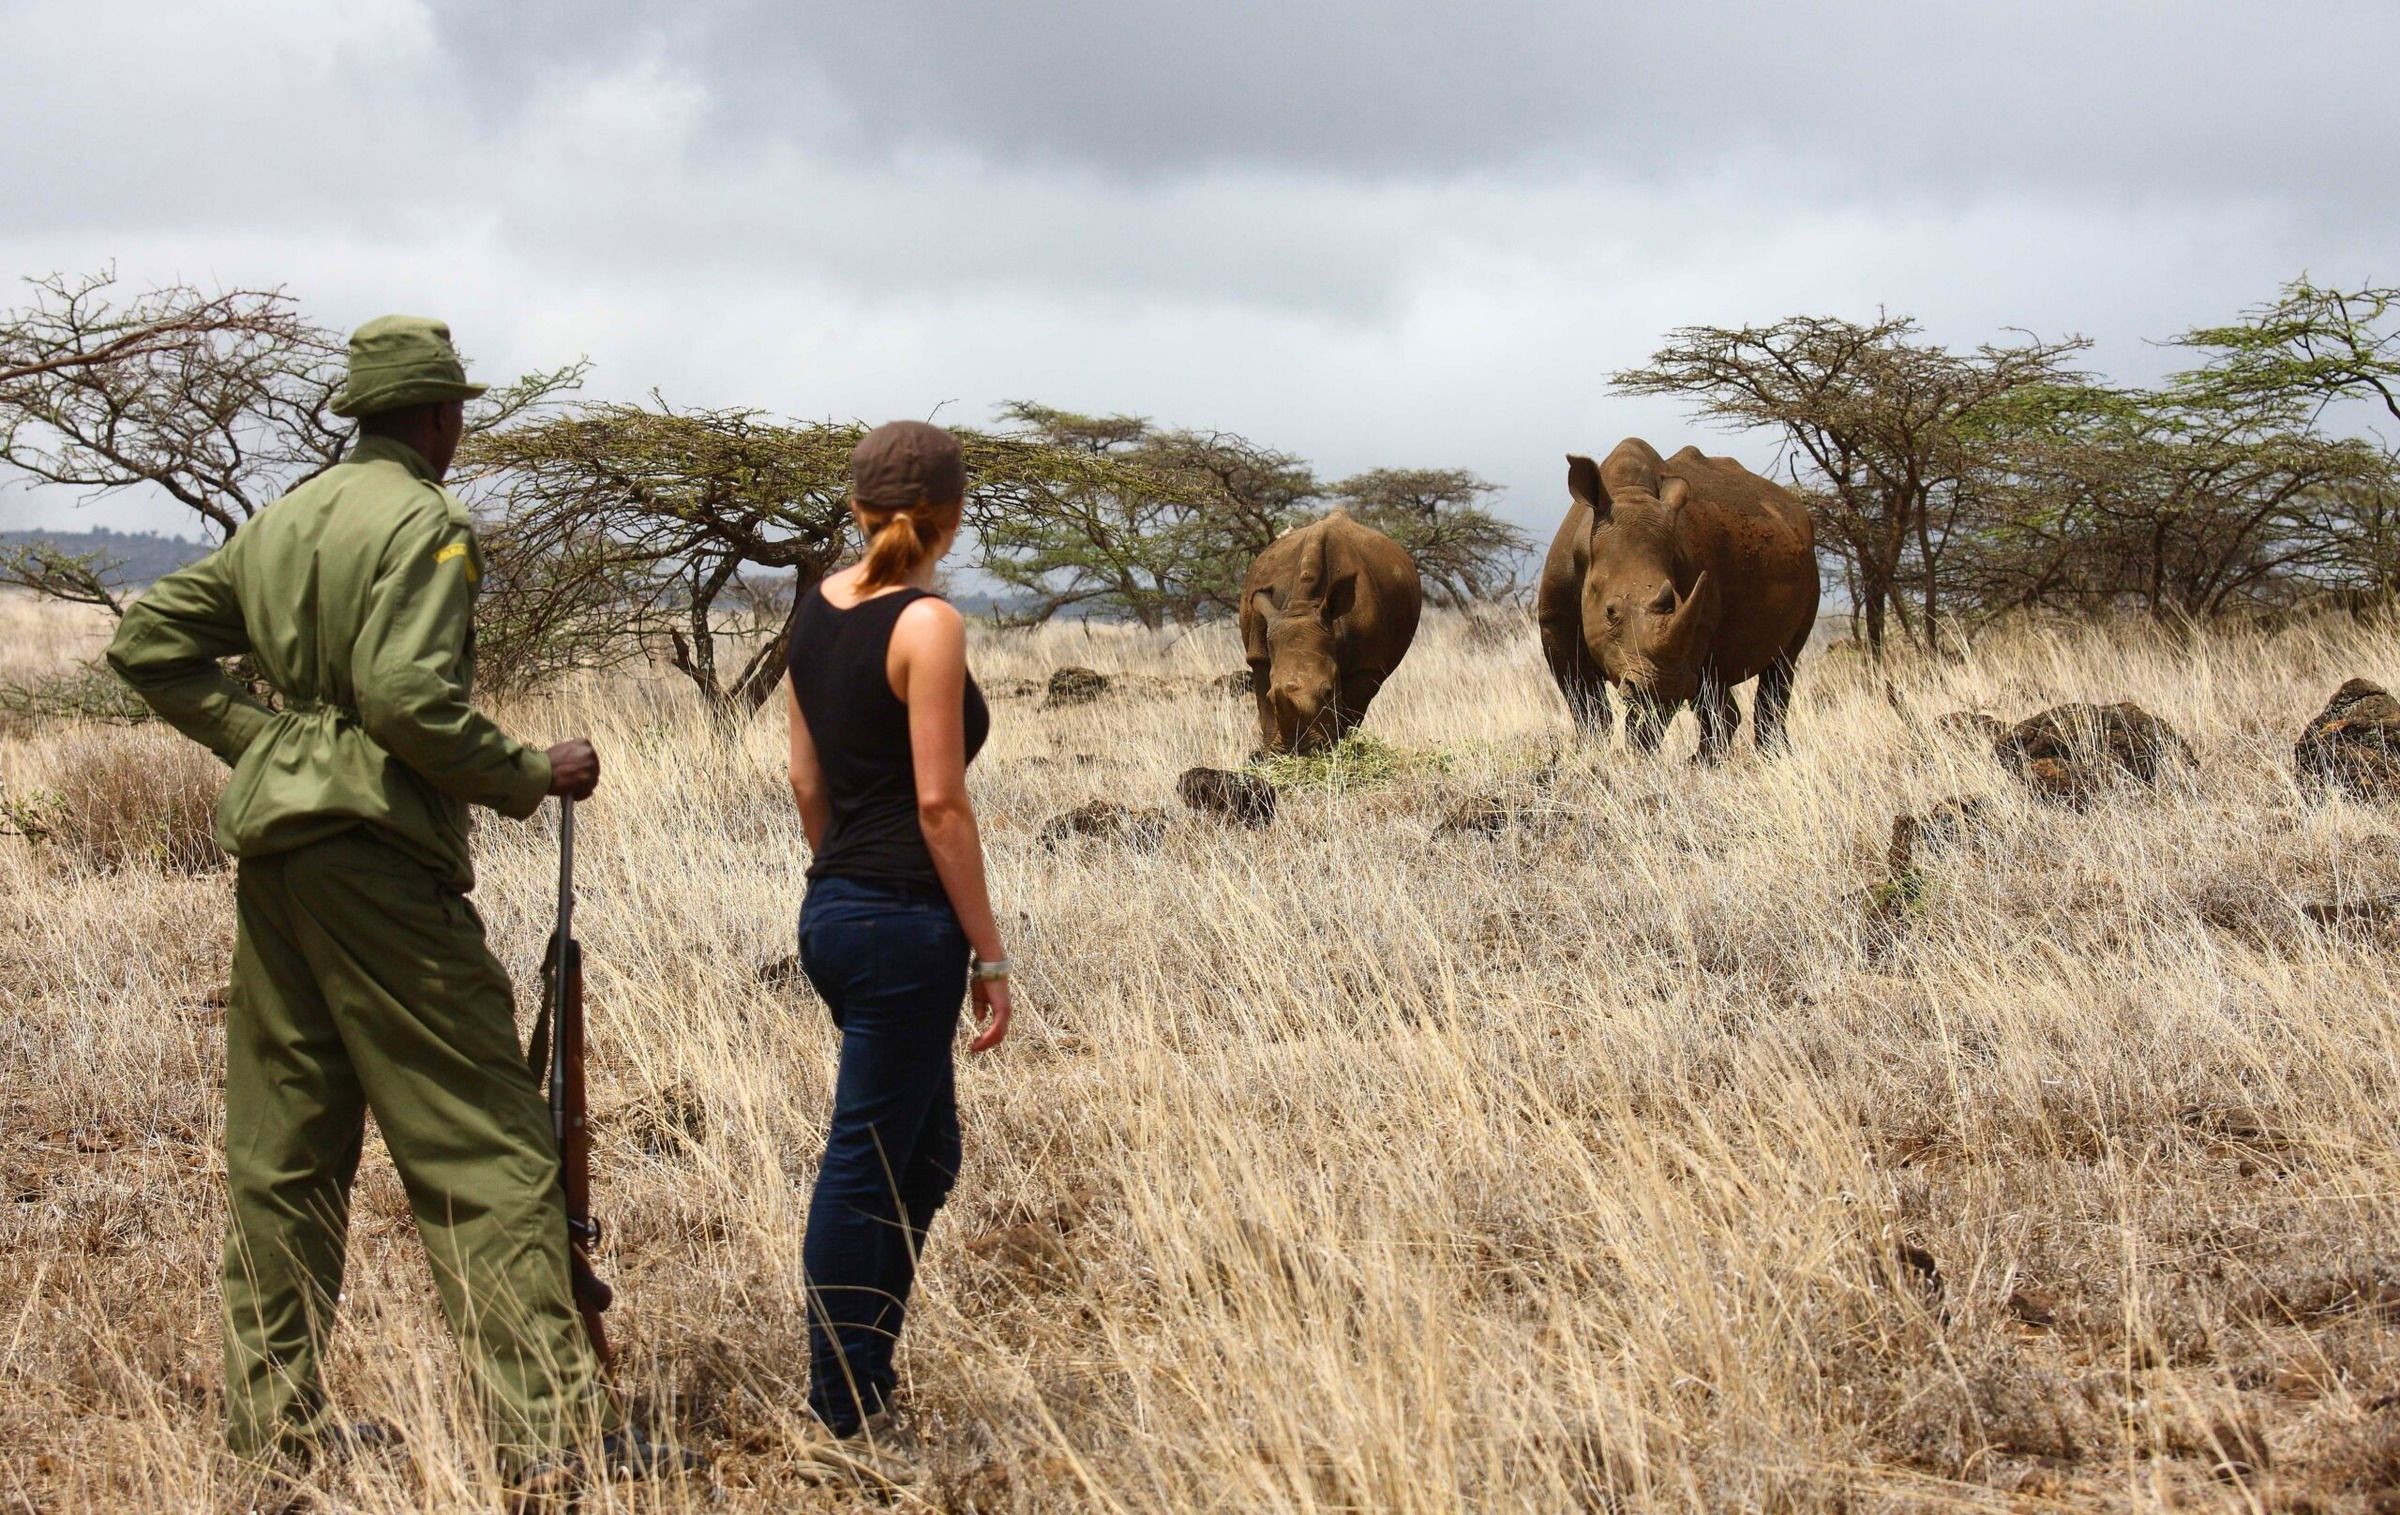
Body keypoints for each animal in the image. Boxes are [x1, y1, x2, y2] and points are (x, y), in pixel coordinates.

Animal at [1240, 509, 1423, 754]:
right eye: (1271, 695)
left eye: (1328, 692)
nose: (1300, 751)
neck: (1303, 605)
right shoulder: (1259, 653)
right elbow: (1266, 710)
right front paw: (1271, 754)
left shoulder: (1366, 666)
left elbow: (1351, 708)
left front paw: (1338, 747)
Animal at [1536, 438, 1818, 758]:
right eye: (1610, 611)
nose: (1661, 687)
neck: (1629, 493)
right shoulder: (1555, 620)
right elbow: (1586, 706)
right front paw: (1591, 753)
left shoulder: (1687, 638)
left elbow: (1657, 711)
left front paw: (1638, 758)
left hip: (1810, 565)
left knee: (1781, 663)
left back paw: (1746, 758)